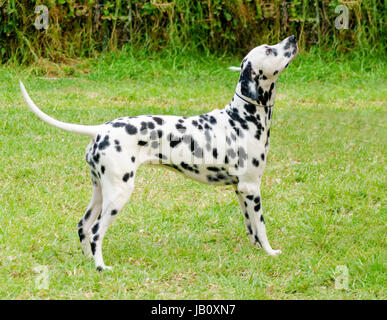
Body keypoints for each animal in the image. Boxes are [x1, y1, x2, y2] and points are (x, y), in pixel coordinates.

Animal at [19, 35, 300, 272]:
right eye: (269, 50)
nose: (293, 37)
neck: (241, 118)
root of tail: (101, 129)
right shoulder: (252, 189)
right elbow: (261, 227)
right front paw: (270, 252)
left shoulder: (241, 190)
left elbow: (251, 228)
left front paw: (256, 251)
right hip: (118, 194)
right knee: (97, 230)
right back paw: (101, 267)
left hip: (99, 191)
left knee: (83, 226)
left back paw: (89, 261)